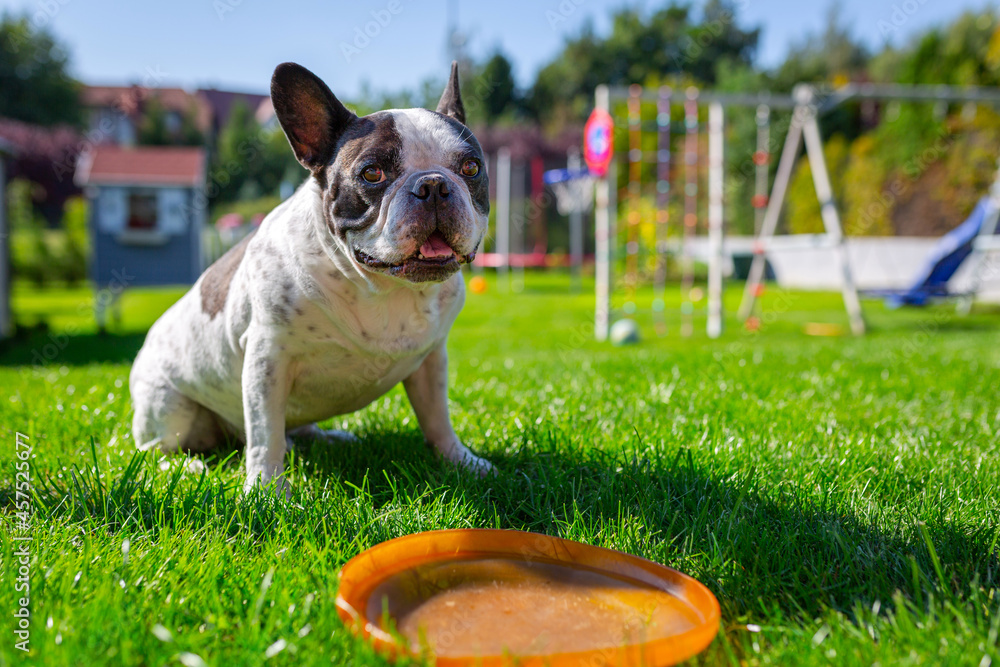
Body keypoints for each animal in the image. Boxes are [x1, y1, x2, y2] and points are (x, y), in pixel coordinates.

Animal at [127, 62, 494, 494]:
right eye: (372, 173)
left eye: (471, 168)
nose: (433, 184)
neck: (383, 287)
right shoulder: (268, 359)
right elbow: (265, 434)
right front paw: (266, 491)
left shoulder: (431, 360)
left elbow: (437, 417)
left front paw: (460, 461)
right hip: (169, 407)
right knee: (157, 450)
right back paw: (187, 468)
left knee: (293, 430)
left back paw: (330, 437)